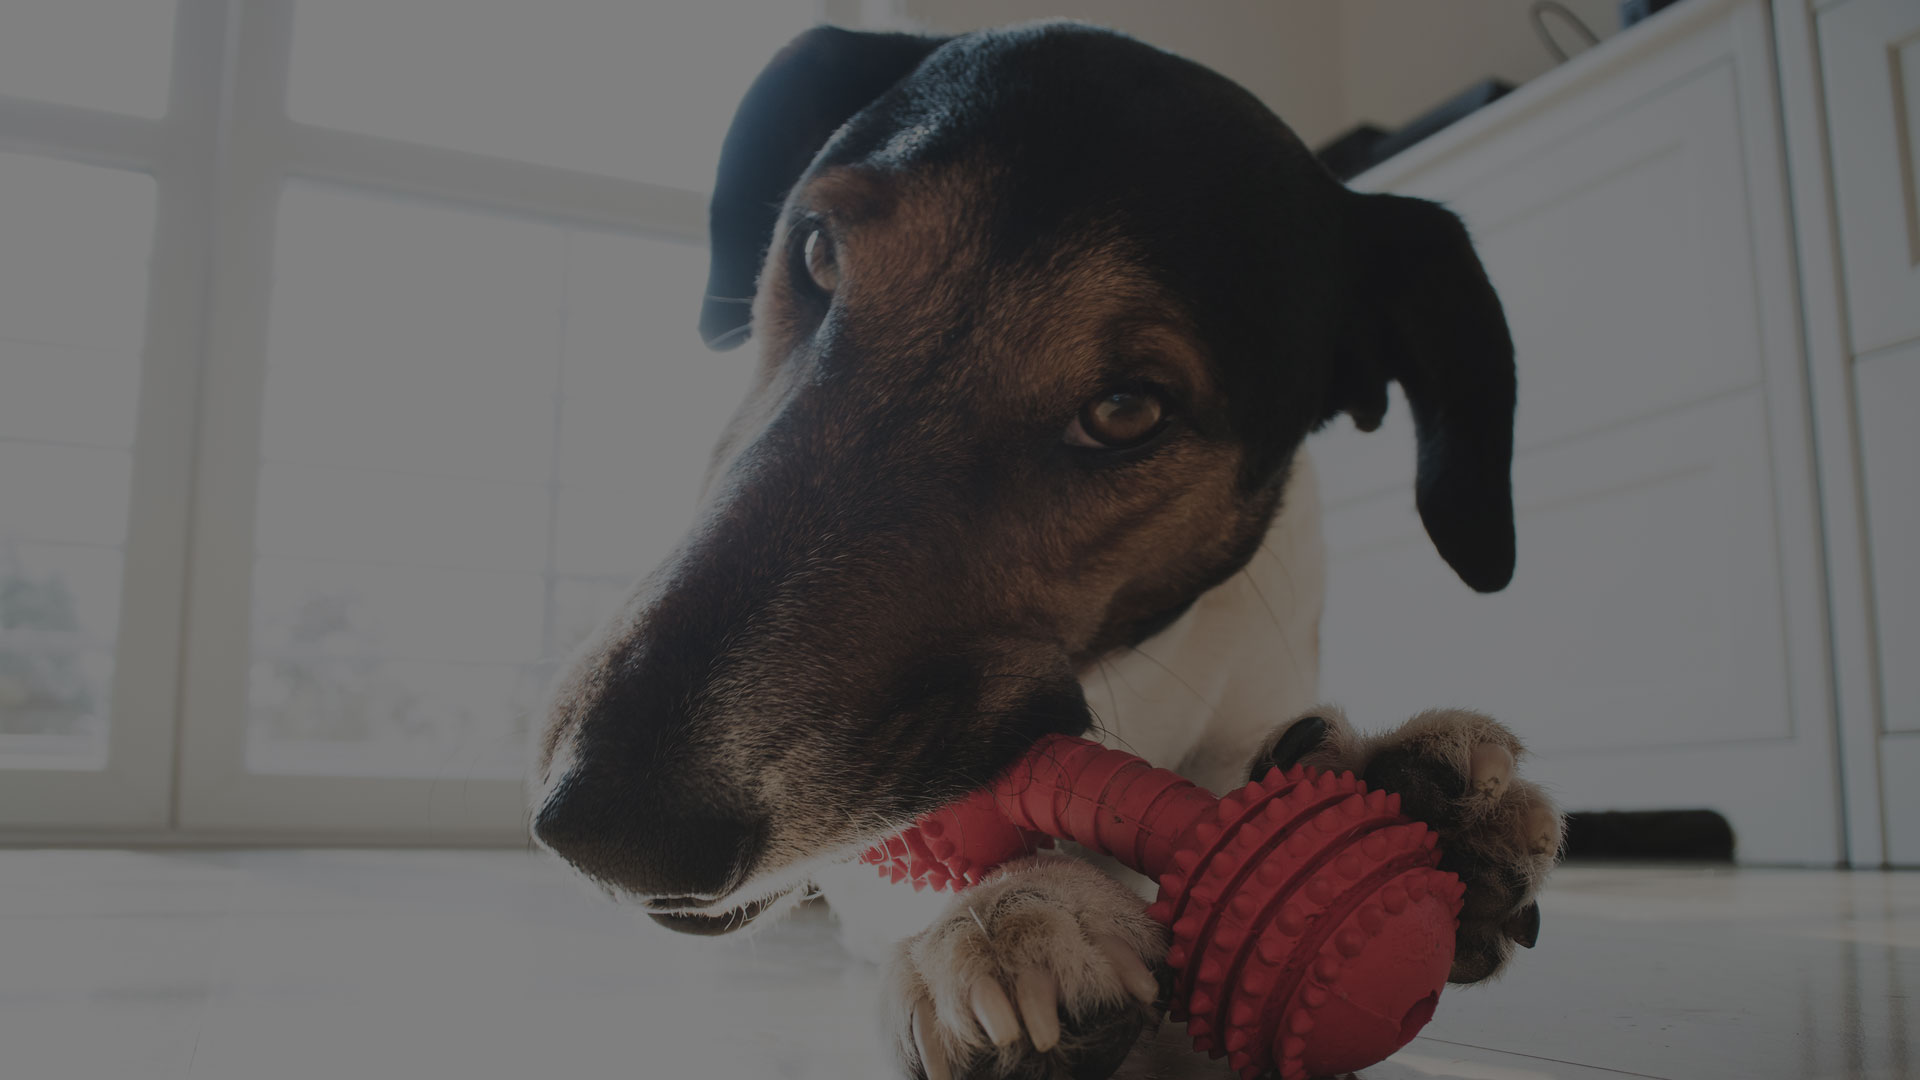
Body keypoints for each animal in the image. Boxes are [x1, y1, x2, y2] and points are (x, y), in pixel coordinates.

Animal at [533, 18, 1566, 1076]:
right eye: (817, 254)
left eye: (1127, 411)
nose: (604, 829)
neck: (1127, 676)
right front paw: (1019, 907)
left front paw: (1394, 790)